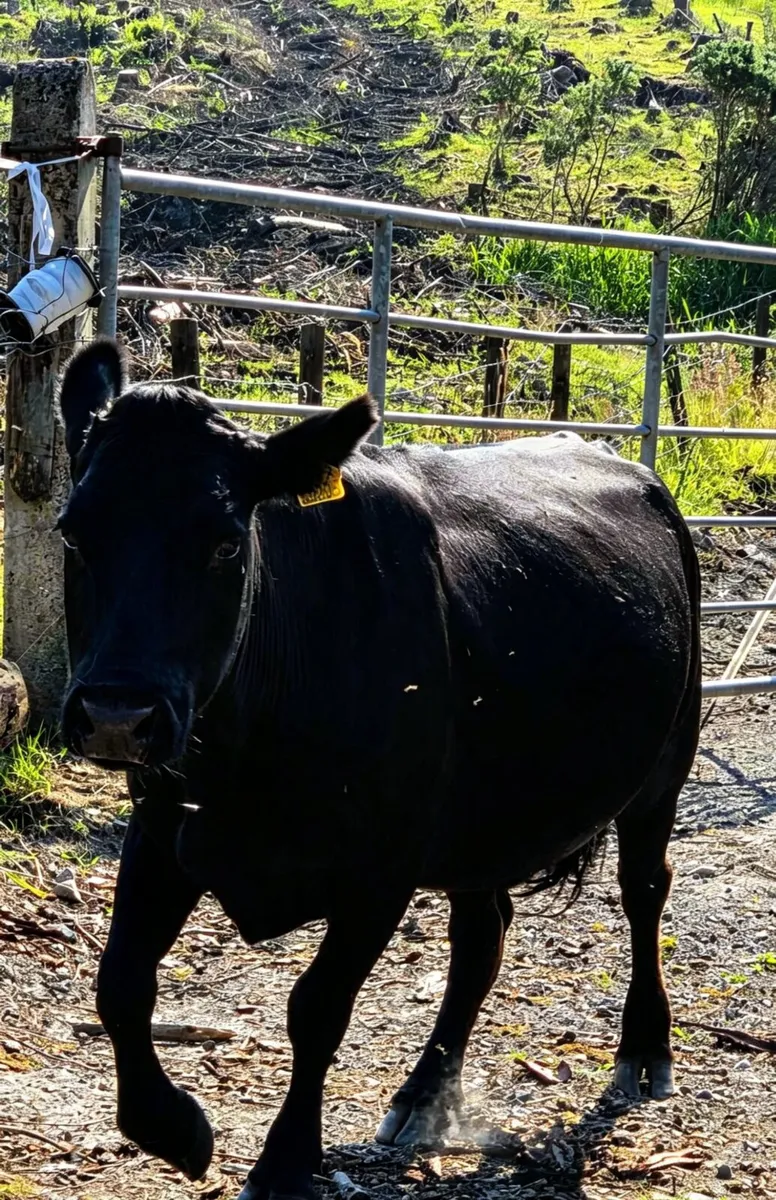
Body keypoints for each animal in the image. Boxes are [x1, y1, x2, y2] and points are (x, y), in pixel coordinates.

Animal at [58, 338, 701, 1200]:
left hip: (663, 767)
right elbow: (121, 982)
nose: (118, 715)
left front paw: (285, 1161)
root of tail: (619, 460)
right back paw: (426, 1094)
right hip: (482, 818)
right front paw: (174, 1128)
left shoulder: (380, 868)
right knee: (482, 937)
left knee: (644, 891)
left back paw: (643, 1048)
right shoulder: (165, 830)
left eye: (225, 541)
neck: (243, 767)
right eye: (72, 535)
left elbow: (317, 1008)